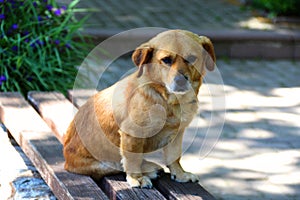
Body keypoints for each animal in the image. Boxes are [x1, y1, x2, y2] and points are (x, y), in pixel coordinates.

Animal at [62, 28, 216, 188]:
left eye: (192, 58)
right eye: (166, 60)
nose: (180, 81)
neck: (166, 100)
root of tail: (66, 160)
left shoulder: (177, 134)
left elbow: (174, 157)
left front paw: (180, 174)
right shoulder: (132, 134)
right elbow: (132, 160)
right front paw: (137, 178)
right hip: (100, 163)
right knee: (116, 165)